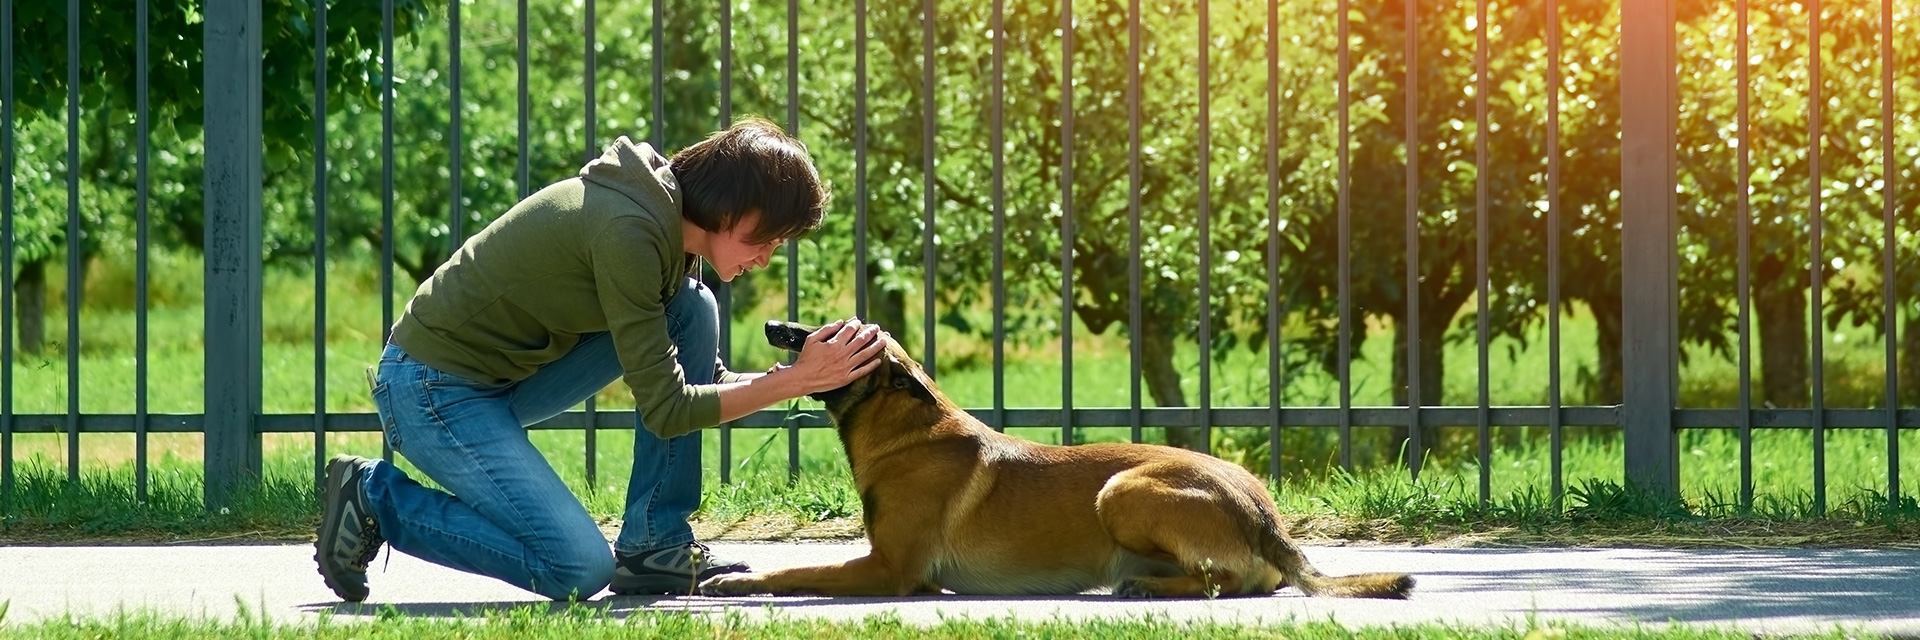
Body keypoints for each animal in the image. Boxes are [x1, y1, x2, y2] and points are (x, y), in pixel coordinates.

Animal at [698, 319, 1420, 599]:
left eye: (827, 332)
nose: (774, 328)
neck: (907, 431)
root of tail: (1264, 513)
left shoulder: (889, 570)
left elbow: (796, 570)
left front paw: (735, 583)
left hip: (1121, 490)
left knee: (1228, 580)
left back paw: (1145, 588)